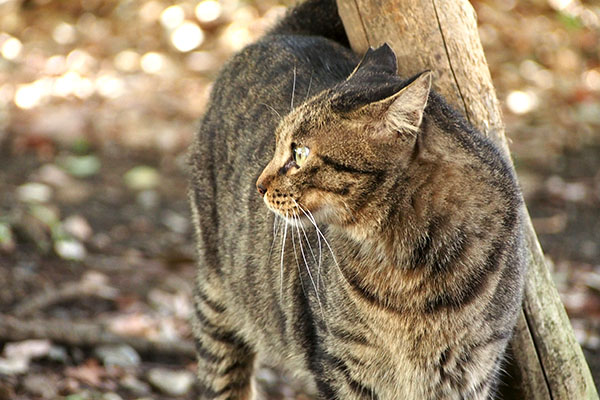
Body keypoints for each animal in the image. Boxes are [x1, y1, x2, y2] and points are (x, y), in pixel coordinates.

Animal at [189, 1, 524, 398]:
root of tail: (287, 33)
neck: (407, 267)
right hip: (217, 297)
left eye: (299, 154)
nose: (259, 185)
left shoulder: (473, 369)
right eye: (277, 144)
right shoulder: (343, 365)